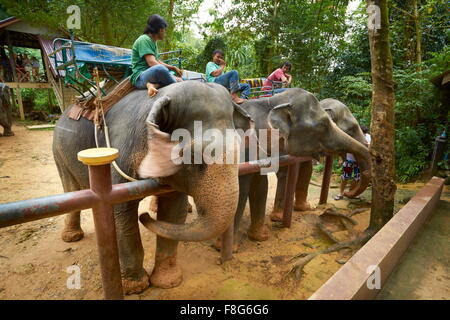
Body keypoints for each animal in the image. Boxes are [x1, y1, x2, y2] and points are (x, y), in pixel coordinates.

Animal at [54, 80, 250, 296]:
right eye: (193, 156)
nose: (144, 216)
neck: (160, 97)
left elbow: (173, 210)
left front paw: (167, 282)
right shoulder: (120, 150)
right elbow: (121, 211)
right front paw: (135, 287)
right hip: (59, 151)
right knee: (69, 187)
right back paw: (72, 237)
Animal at [223, 88, 370, 250]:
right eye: (323, 125)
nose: (348, 193)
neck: (273, 102)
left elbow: (261, 184)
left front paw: (262, 235)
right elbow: (242, 186)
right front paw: (228, 248)